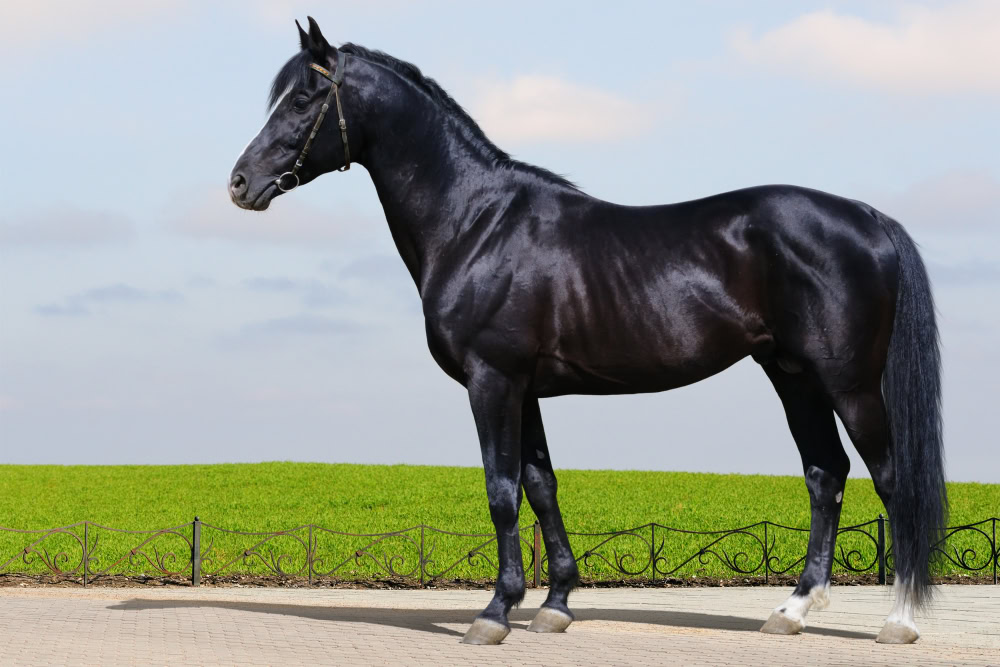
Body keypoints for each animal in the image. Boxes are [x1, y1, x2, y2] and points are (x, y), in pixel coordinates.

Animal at [230, 17, 946, 646]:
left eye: (305, 97)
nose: (240, 183)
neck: (476, 222)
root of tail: (867, 217)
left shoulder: (493, 380)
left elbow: (501, 490)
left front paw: (494, 612)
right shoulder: (527, 389)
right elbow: (541, 486)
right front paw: (554, 605)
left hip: (849, 383)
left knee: (891, 479)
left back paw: (899, 621)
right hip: (793, 375)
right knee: (826, 474)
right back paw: (792, 610)